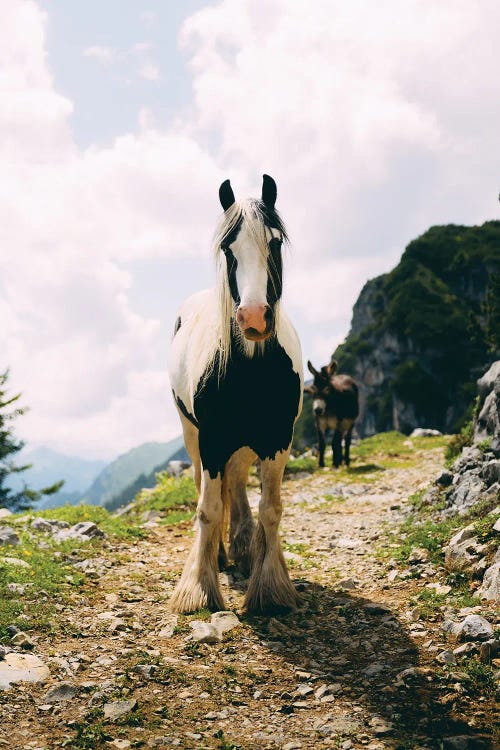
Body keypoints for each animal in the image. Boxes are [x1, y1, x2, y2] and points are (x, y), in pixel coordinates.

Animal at [168, 176, 302, 616]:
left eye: (274, 242)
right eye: (229, 249)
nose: (254, 317)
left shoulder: (278, 440)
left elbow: (270, 509)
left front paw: (271, 587)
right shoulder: (211, 440)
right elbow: (208, 509)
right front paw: (199, 588)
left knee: (238, 481)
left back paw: (243, 549)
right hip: (191, 434)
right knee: (206, 485)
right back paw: (222, 554)